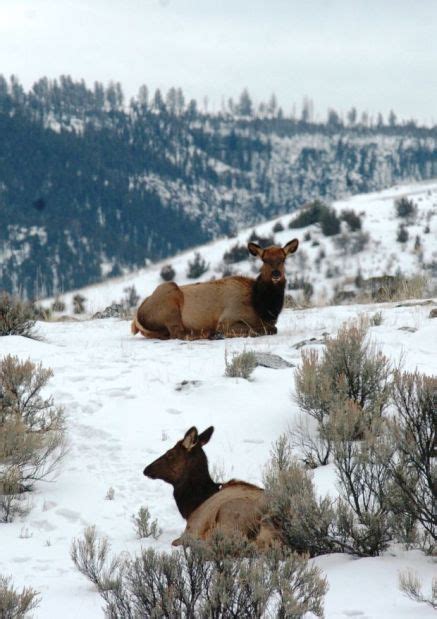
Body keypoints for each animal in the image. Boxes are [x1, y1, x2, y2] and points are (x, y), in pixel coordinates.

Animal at [131, 240, 298, 342]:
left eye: (283, 259)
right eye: (264, 260)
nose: (276, 274)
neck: (262, 308)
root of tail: (138, 316)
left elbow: (271, 328)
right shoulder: (227, 319)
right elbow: (265, 329)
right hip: (169, 299)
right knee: (178, 333)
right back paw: (210, 334)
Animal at [143, 426, 280, 548]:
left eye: (170, 454)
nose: (146, 469)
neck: (192, 505)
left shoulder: (193, 527)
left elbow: (176, 541)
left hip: (229, 512)